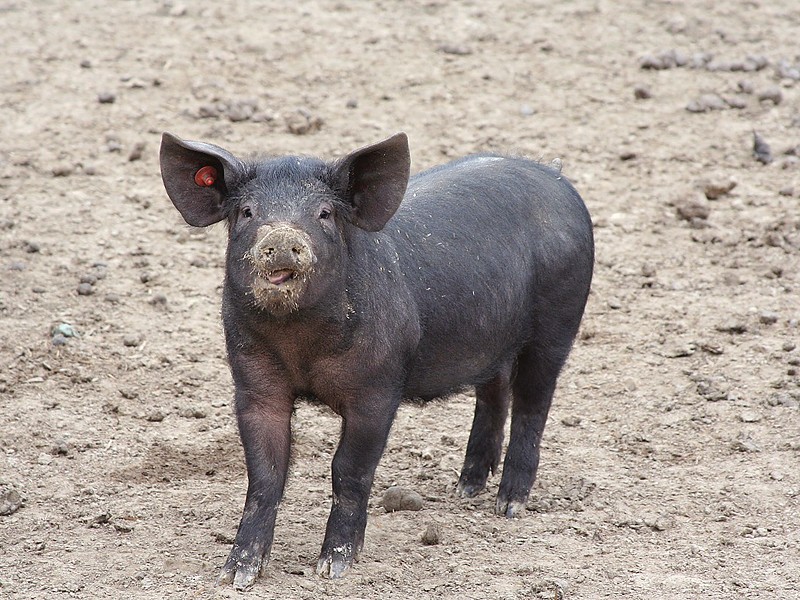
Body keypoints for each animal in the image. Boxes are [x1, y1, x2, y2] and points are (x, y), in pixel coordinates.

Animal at [158, 132, 592, 592]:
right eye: (247, 212)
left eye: (324, 213)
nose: (282, 237)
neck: (301, 343)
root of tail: (556, 177)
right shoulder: (254, 384)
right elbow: (264, 474)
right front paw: (235, 575)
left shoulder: (377, 389)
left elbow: (348, 470)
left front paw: (333, 568)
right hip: (491, 338)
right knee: (493, 392)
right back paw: (465, 489)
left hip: (558, 321)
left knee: (534, 402)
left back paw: (508, 506)